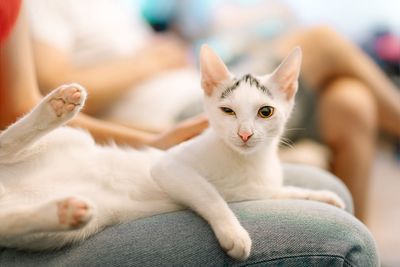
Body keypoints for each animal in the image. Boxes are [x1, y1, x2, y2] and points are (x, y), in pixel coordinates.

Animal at [0, 46, 344, 262]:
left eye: (265, 111)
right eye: (228, 111)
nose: (244, 134)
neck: (245, 161)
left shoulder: (257, 190)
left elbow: (283, 191)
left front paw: (323, 196)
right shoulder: (169, 167)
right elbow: (210, 196)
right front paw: (234, 233)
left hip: (57, 231)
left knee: (12, 221)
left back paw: (65, 210)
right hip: (73, 139)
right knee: (5, 147)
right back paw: (57, 106)